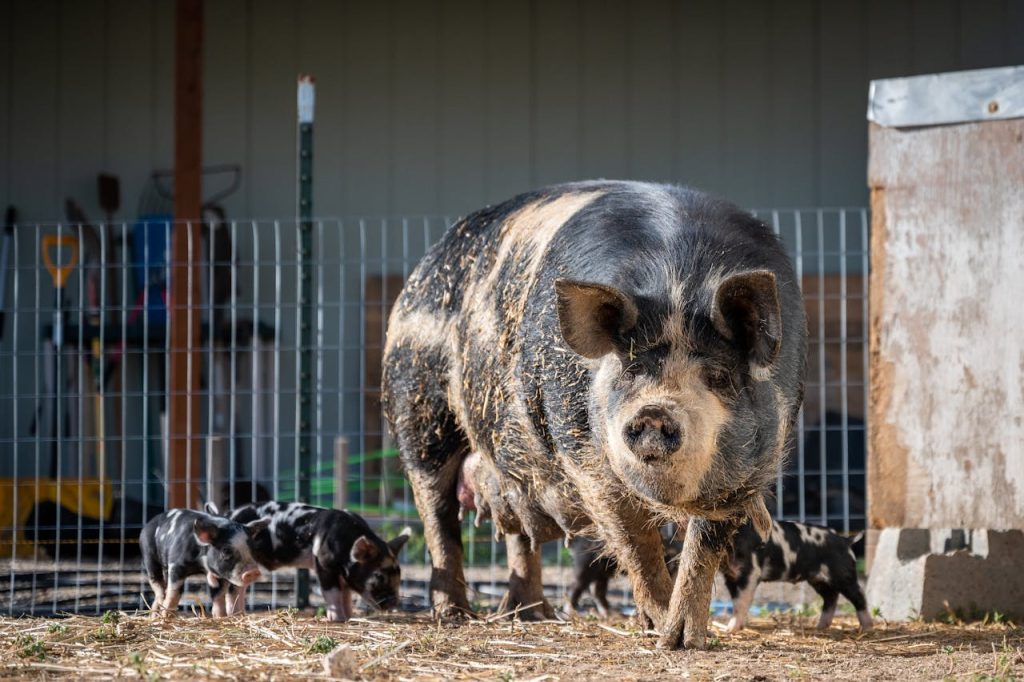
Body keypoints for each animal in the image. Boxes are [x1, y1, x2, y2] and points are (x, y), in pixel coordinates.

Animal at [138, 508, 269, 617]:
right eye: (226, 550)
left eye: (253, 548)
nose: (253, 571)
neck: (201, 565)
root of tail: (148, 524)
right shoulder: (176, 565)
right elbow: (174, 593)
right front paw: (167, 616)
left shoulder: (218, 574)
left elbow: (218, 596)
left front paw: (220, 617)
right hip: (149, 556)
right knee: (157, 584)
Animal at [223, 501, 411, 621]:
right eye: (379, 576)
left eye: (399, 574)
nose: (395, 602)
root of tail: (229, 514)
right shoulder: (323, 562)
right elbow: (332, 592)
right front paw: (337, 619)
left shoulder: (343, 574)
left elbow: (346, 594)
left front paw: (349, 616)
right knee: (233, 588)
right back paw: (235, 615)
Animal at [382, 181, 806, 648]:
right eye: (632, 370)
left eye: (717, 375)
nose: (654, 413)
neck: (679, 285)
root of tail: (421, 271)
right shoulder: (584, 460)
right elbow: (635, 543)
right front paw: (659, 629)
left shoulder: (750, 471)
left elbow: (701, 548)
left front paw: (685, 639)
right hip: (415, 407)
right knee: (437, 513)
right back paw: (456, 615)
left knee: (519, 530)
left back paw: (533, 616)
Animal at [721, 519, 872, 632]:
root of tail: (846, 540)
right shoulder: (730, 576)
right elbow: (736, 601)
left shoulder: (751, 571)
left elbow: (741, 602)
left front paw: (730, 630)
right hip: (818, 580)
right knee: (831, 597)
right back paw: (820, 627)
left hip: (843, 574)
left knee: (859, 596)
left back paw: (866, 627)